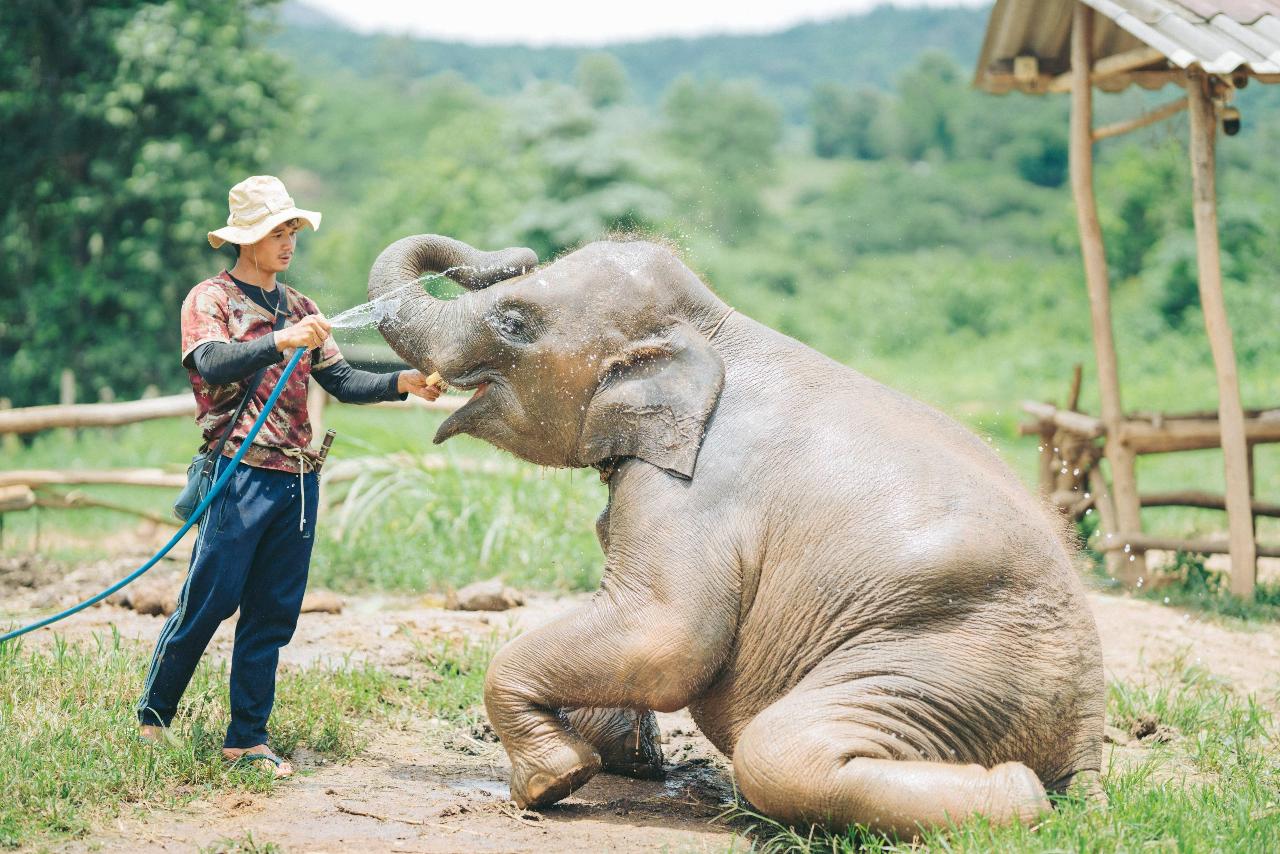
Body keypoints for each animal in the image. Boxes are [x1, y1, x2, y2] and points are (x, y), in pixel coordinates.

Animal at [368, 234, 1104, 837]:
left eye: (514, 322)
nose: (514, 251)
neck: (717, 327)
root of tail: (1088, 743)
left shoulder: (694, 495)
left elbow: (665, 636)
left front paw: (551, 780)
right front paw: (626, 758)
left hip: (953, 663)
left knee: (780, 752)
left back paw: (1016, 796)